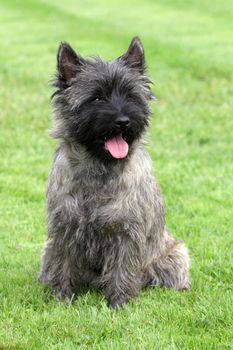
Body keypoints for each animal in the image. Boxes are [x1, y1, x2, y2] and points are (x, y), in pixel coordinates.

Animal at [39, 37, 189, 308]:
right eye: (97, 98)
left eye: (131, 96)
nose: (123, 121)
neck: (100, 170)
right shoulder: (63, 228)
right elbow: (63, 264)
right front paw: (62, 299)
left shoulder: (127, 232)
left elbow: (123, 268)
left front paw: (119, 304)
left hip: (176, 255)